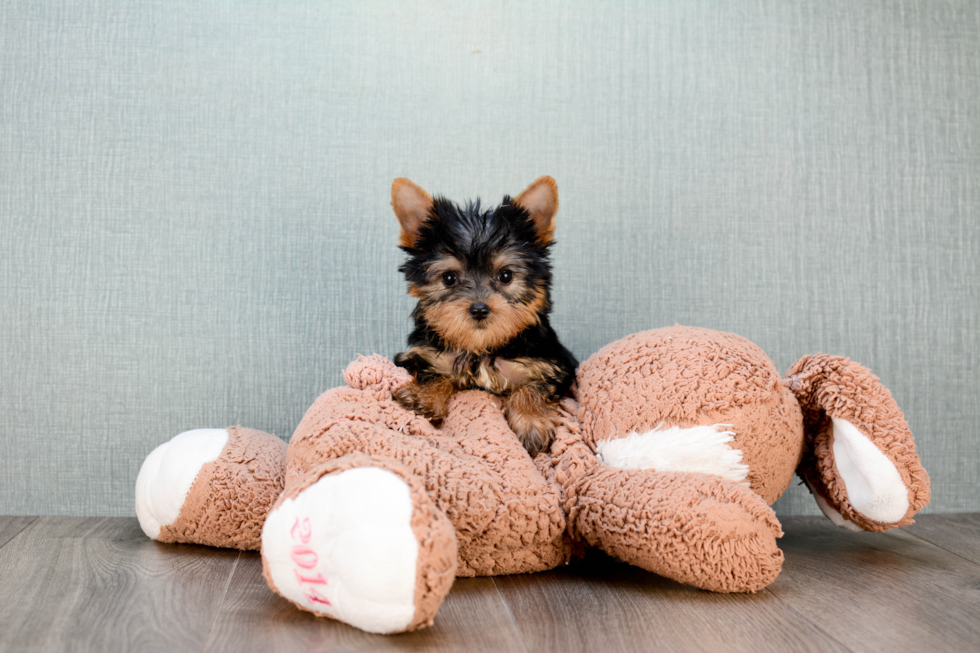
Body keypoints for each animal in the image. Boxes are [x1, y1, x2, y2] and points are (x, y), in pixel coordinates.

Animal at [388, 176, 580, 456]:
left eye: (506, 276)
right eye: (449, 278)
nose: (479, 309)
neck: (482, 347)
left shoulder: (555, 364)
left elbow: (535, 386)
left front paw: (531, 421)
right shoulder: (420, 355)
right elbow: (431, 372)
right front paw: (423, 396)